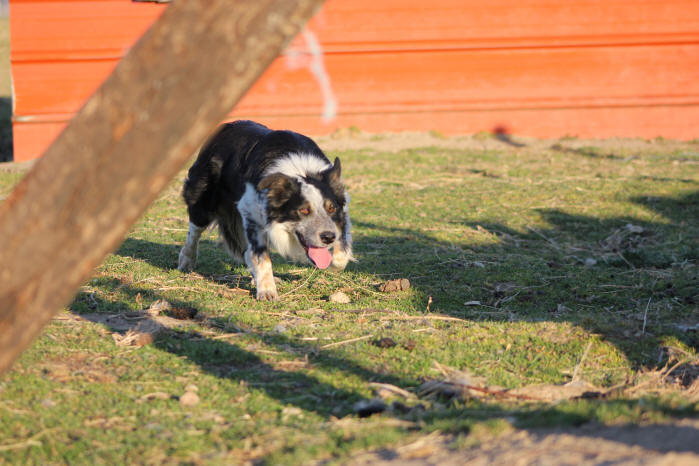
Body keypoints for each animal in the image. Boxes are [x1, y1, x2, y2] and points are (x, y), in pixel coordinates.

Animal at [178, 120, 352, 300]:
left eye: (331, 208)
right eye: (303, 210)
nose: (328, 238)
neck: (301, 171)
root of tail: (224, 126)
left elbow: (342, 252)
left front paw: (335, 262)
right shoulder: (251, 212)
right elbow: (260, 256)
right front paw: (267, 290)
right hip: (203, 200)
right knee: (195, 231)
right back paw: (186, 260)